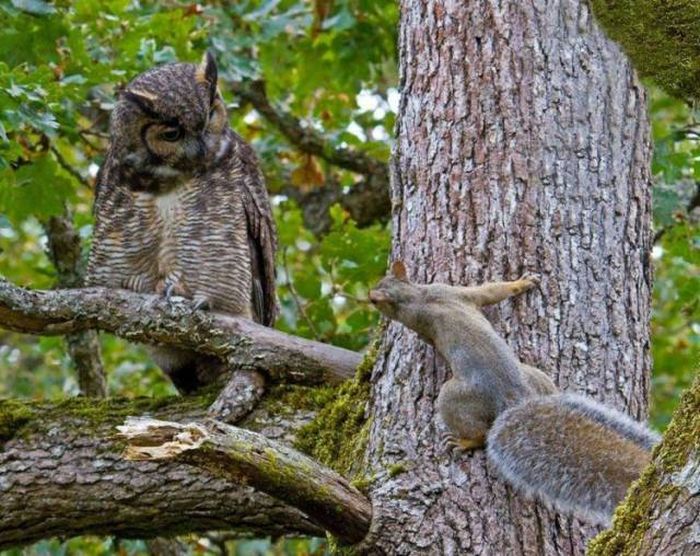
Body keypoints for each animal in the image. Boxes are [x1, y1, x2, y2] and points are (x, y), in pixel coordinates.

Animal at [370, 260, 660, 524]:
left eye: (375, 300)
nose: (370, 299)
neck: (417, 295)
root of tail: (514, 398)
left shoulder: (429, 310)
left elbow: (481, 297)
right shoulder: (455, 292)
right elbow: (489, 292)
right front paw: (522, 283)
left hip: (452, 395)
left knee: (479, 432)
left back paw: (465, 442)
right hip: (536, 375)